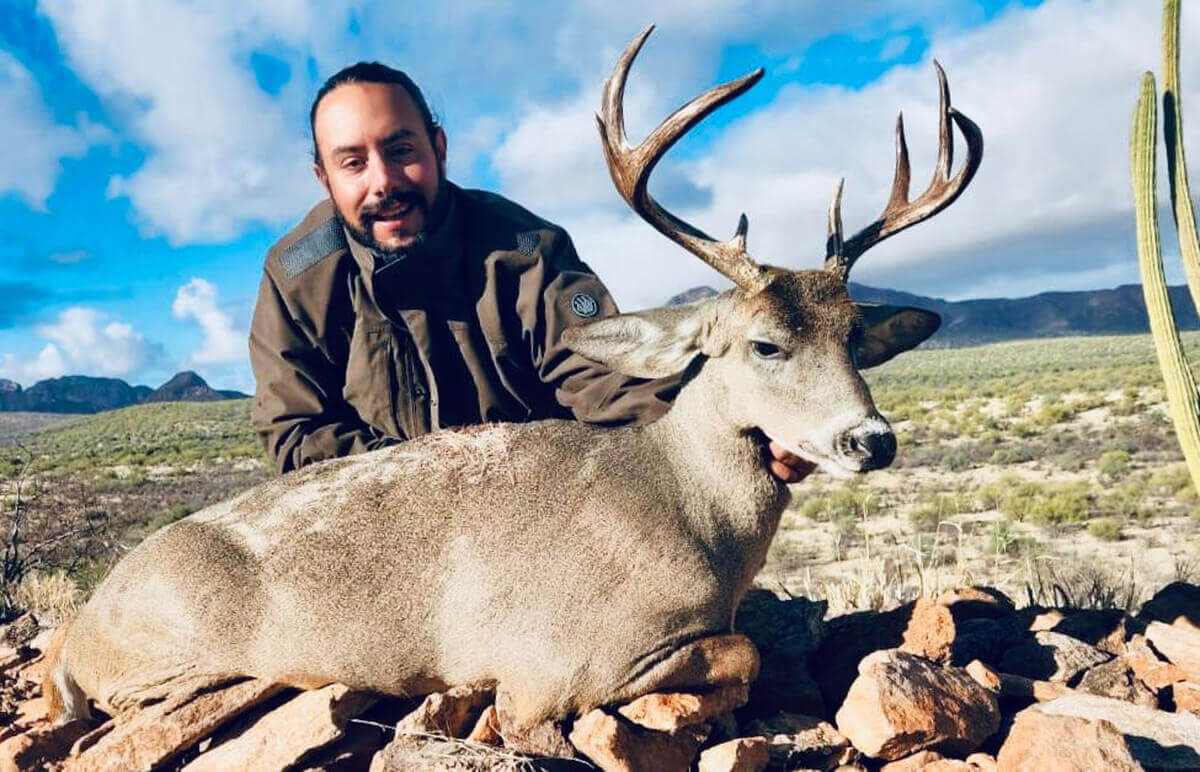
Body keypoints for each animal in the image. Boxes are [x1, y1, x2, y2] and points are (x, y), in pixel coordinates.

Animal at [43, 27, 981, 731]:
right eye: (765, 345)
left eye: (855, 335)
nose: (872, 439)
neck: (687, 511)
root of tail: (82, 631)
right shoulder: (562, 661)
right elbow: (741, 655)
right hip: (178, 662)